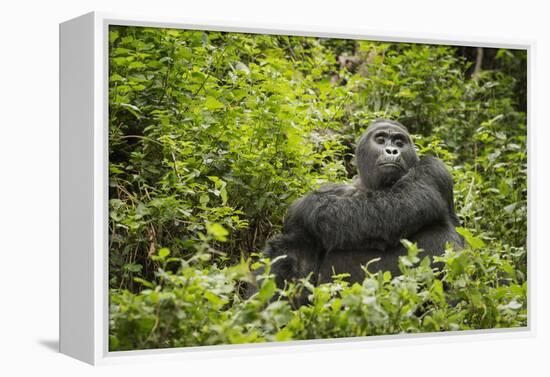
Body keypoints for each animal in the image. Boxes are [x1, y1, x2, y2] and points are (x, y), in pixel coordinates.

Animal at [260, 118, 464, 294]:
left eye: (399, 142)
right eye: (380, 140)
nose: (392, 151)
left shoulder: (433, 168)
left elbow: (401, 205)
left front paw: (304, 208)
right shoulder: (333, 188)